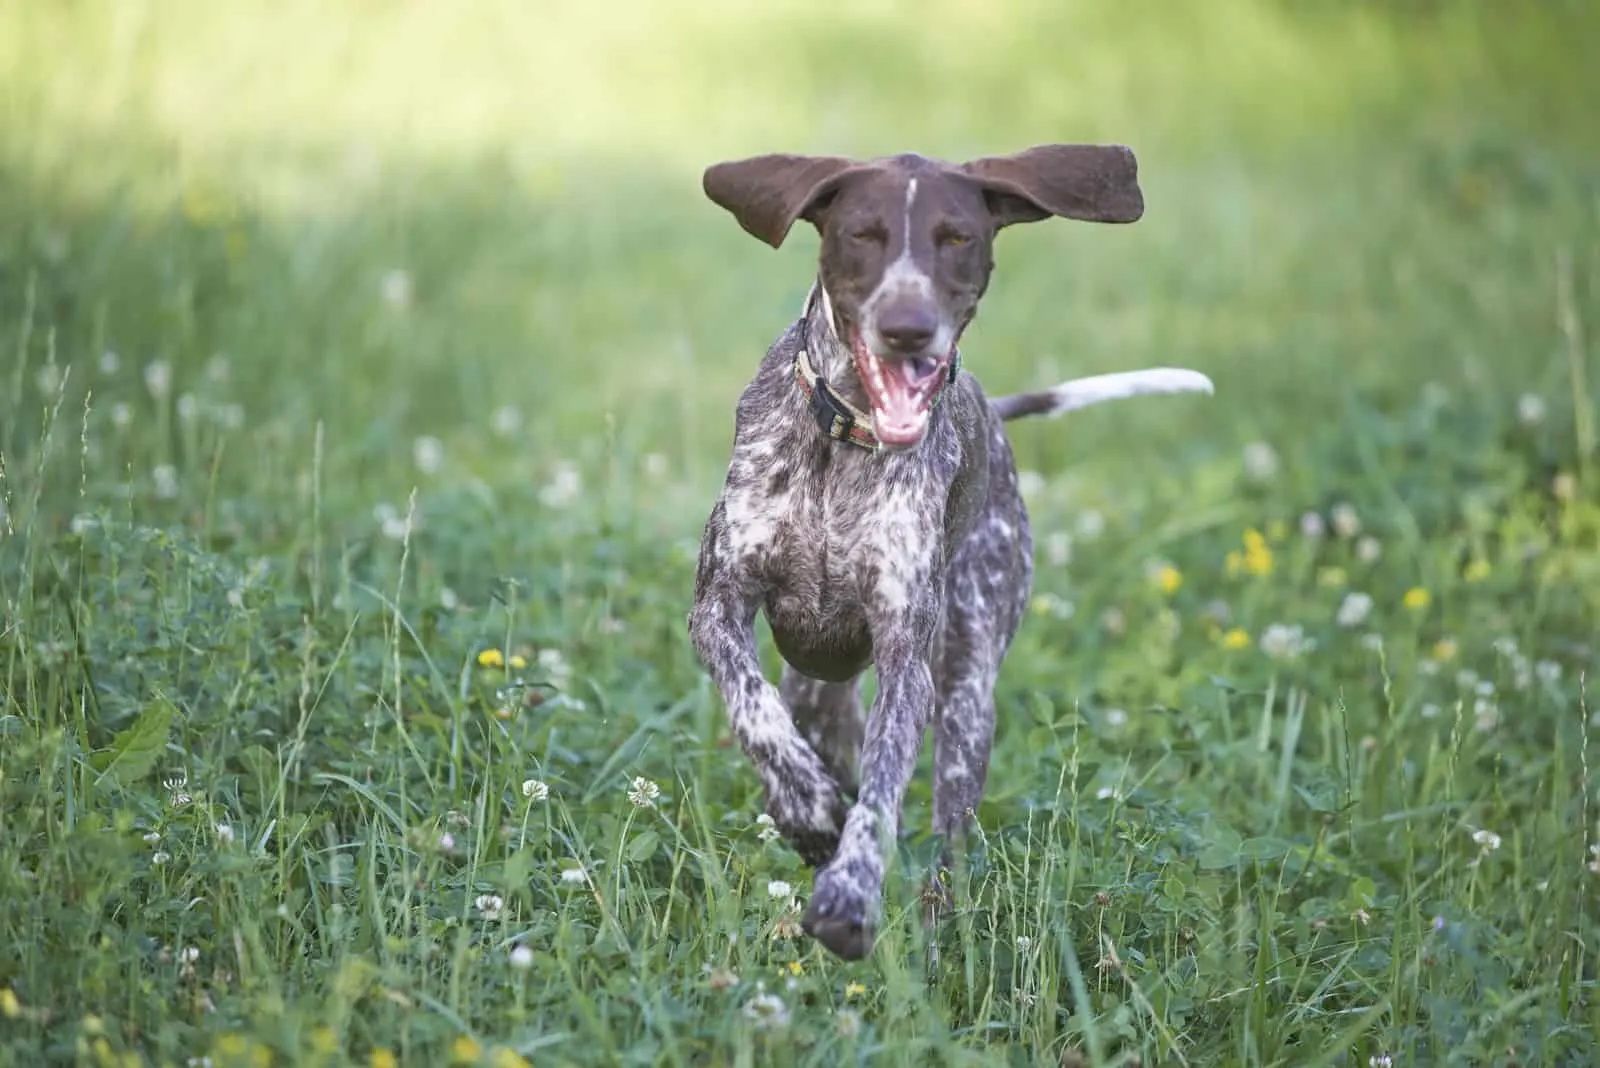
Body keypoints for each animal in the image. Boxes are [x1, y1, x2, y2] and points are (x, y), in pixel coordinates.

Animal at [688, 143, 1209, 959]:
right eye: (863, 234)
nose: (908, 328)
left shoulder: (910, 661)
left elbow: (880, 792)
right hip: (818, 692)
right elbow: (755, 713)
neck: (848, 436)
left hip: (966, 698)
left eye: (957, 237)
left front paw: (850, 892)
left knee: (947, 839)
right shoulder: (719, 607)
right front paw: (807, 811)